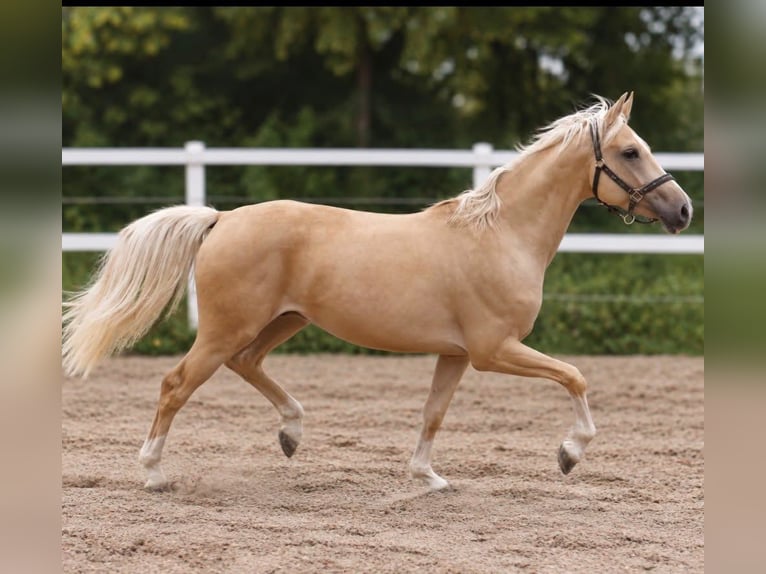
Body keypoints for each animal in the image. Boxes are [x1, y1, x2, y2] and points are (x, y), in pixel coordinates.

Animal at [62, 92, 693, 491]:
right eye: (631, 151)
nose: (683, 210)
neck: (500, 235)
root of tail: (221, 218)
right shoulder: (494, 351)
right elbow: (576, 376)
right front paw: (568, 454)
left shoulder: (456, 354)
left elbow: (434, 413)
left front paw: (428, 478)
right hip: (226, 328)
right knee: (175, 384)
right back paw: (153, 473)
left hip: (282, 321)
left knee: (248, 364)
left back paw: (291, 433)